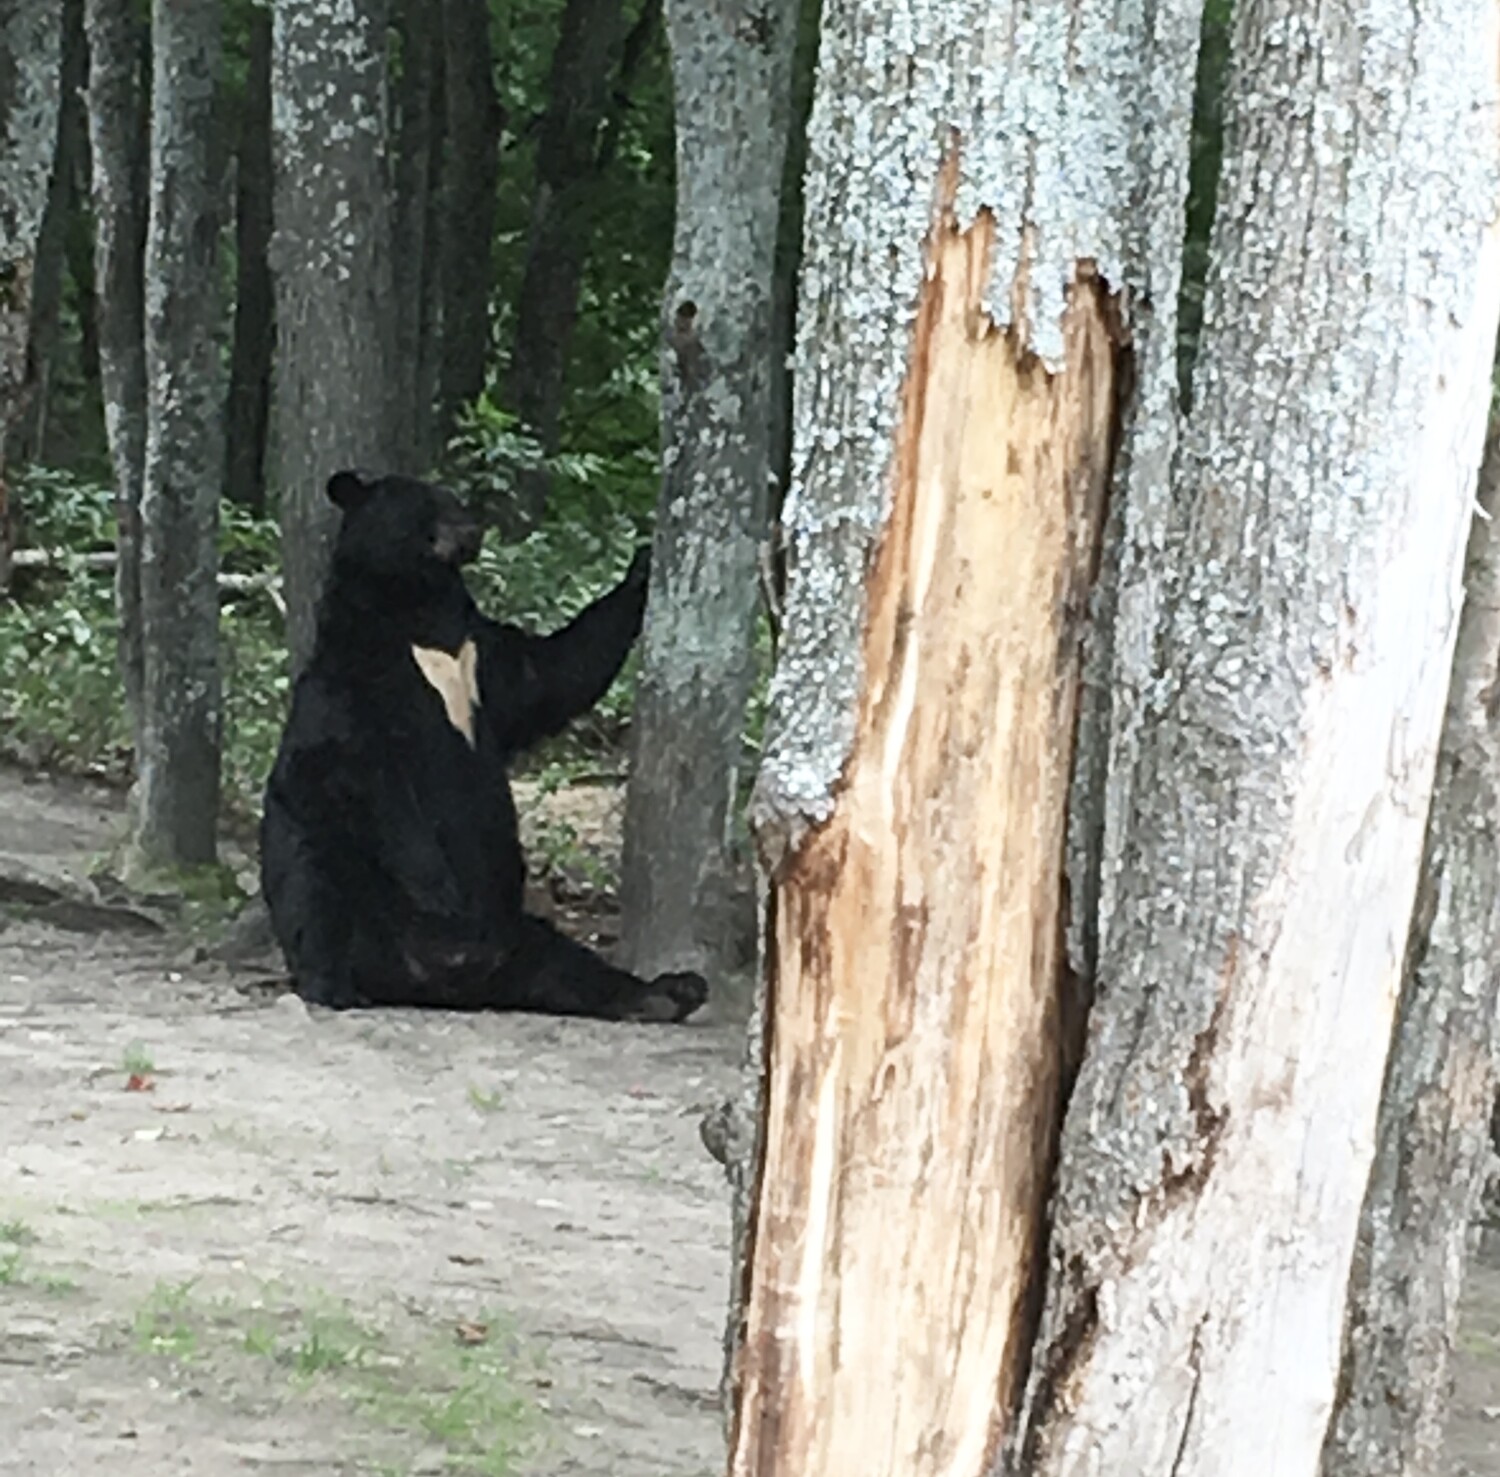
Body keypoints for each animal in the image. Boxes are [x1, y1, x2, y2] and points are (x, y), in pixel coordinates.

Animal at [259, 468, 707, 1024]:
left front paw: (641, 566)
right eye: (427, 502)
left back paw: (669, 991)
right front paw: (437, 884)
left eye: (453, 498)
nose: (474, 528)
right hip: (340, 873)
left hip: (517, 934)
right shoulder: (354, 679)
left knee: (568, 966)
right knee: (316, 896)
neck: (417, 616)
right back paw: (334, 984)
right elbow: (362, 775)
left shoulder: (482, 655)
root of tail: (440, 977)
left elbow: (550, 674)